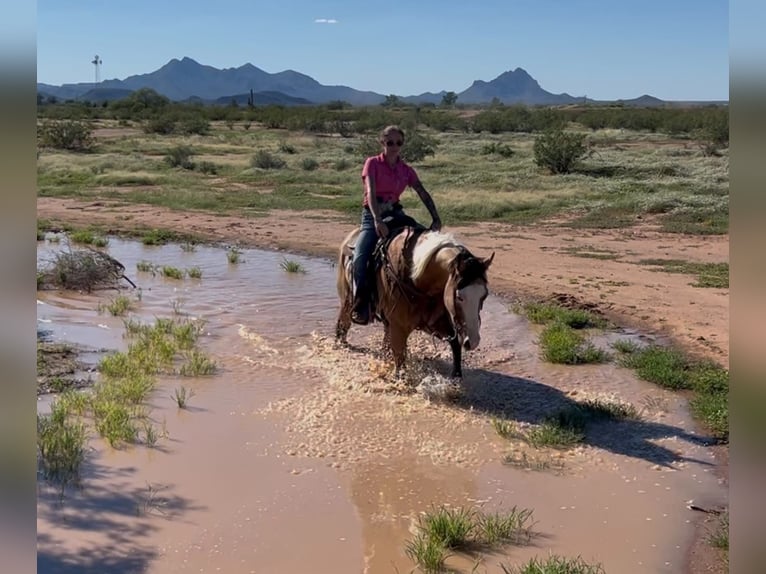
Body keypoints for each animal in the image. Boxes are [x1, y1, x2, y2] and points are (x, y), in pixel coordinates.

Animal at [335, 226, 494, 378]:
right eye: (459, 297)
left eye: (484, 295)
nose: (473, 341)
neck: (415, 279)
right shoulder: (399, 328)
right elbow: (400, 363)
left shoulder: (434, 323)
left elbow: (455, 345)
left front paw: (456, 377)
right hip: (347, 300)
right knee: (343, 324)